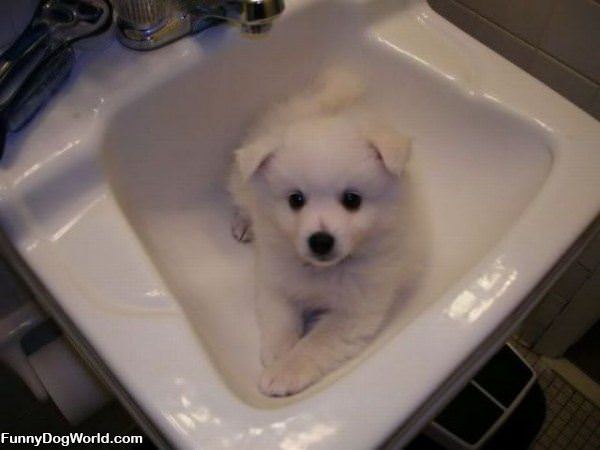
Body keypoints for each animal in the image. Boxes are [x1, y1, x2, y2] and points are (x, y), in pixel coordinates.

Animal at [227, 67, 420, 398]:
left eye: (352, 200)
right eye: (295, 200)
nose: (320, 241)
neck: (322, 270)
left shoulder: (356, 310)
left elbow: (316, 344)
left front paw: (285, 371)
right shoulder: (275, 278)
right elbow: (279, 316)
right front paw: (279, 351)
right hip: (242, 181)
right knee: (241, 196)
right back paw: (244, 223)